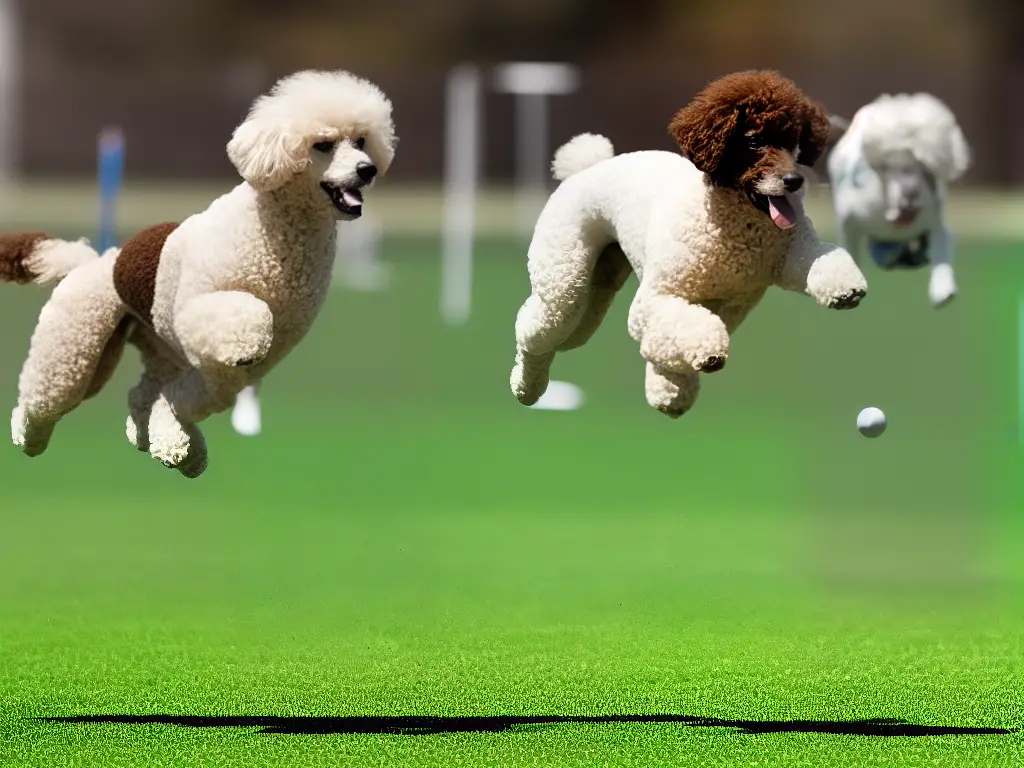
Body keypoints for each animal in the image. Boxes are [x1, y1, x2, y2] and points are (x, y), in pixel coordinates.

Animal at [827, 94, 970, 311]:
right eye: (886, 167)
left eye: (925, 168)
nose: (910, 192)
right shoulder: (850, 221)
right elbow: (851, 250)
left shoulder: (936, 223)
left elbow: (941, 249)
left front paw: (943, 295)